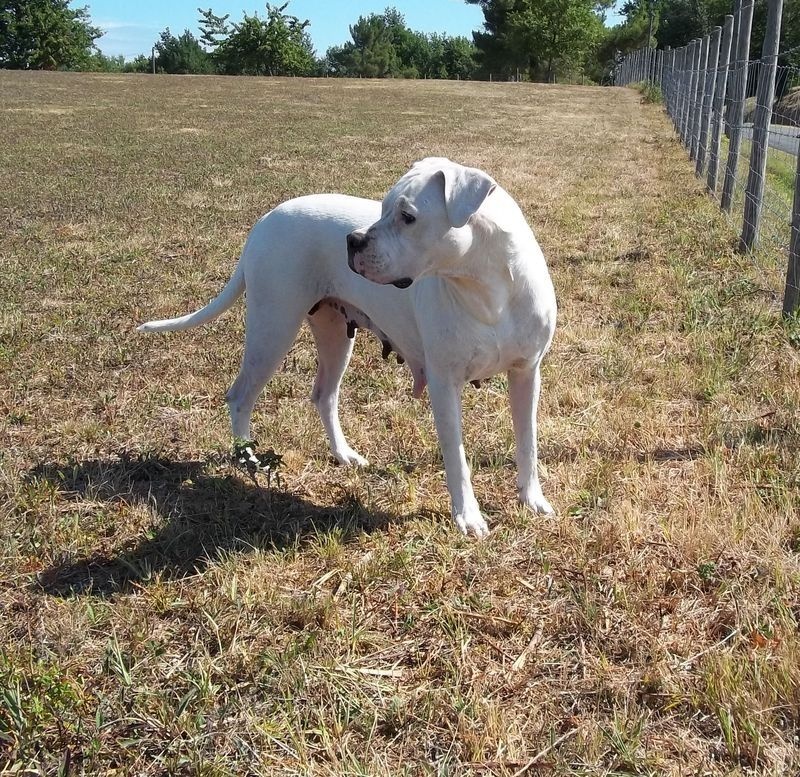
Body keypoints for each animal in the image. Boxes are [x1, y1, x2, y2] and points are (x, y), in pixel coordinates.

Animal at [138, 158, 556, 532]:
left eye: (407, 216)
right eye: (383, 207)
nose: (353, 240)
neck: (487, 290)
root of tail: (267, 218)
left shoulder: (527, 374)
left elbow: (528, 442)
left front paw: (532, 500)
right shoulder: (445, 384)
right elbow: (457, 457)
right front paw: (468, 517)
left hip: (335, 336)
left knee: (324, 395)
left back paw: (343, 454)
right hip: (272, 329)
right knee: (240, 395)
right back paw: (248, 459)